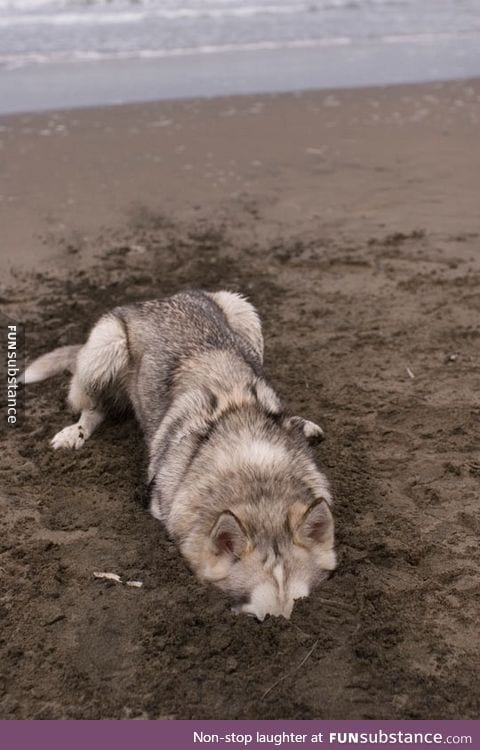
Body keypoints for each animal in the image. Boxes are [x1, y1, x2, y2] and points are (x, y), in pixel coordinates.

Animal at [22, 290, 336, 620]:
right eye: (258, 619)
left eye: (300, 608)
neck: (255, 475)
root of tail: (160, 298)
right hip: (104, 351)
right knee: (94, 408)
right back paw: (75, 433)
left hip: (243, 313)